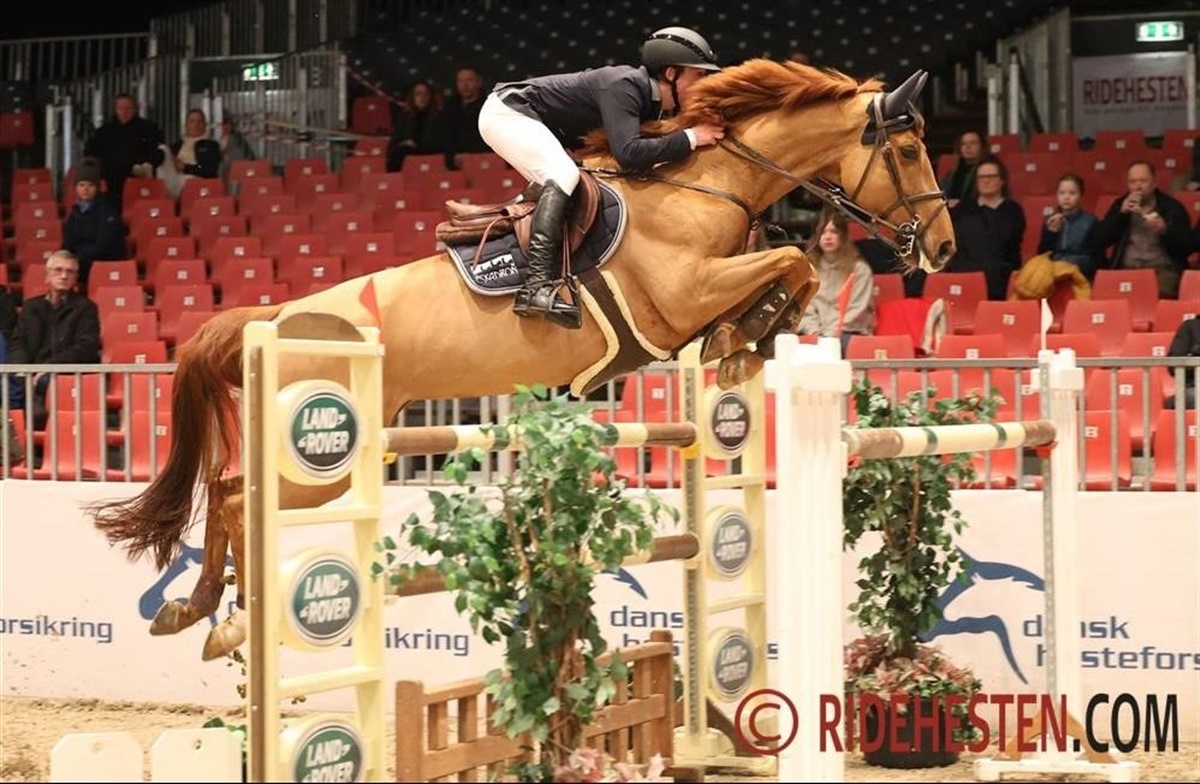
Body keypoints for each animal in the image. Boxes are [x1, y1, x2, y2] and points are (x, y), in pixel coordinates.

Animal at [87, 58, 956, 661]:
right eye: (912, 149)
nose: (945, 250)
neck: (704, 184)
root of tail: (275, 319)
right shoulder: (681, 295)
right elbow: (790, 261)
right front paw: (744, 340)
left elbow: (793, 267)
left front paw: (745, 343)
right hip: (320, 458)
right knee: (237, 500)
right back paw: (228, 624)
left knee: (226, 492)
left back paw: (194, 611)